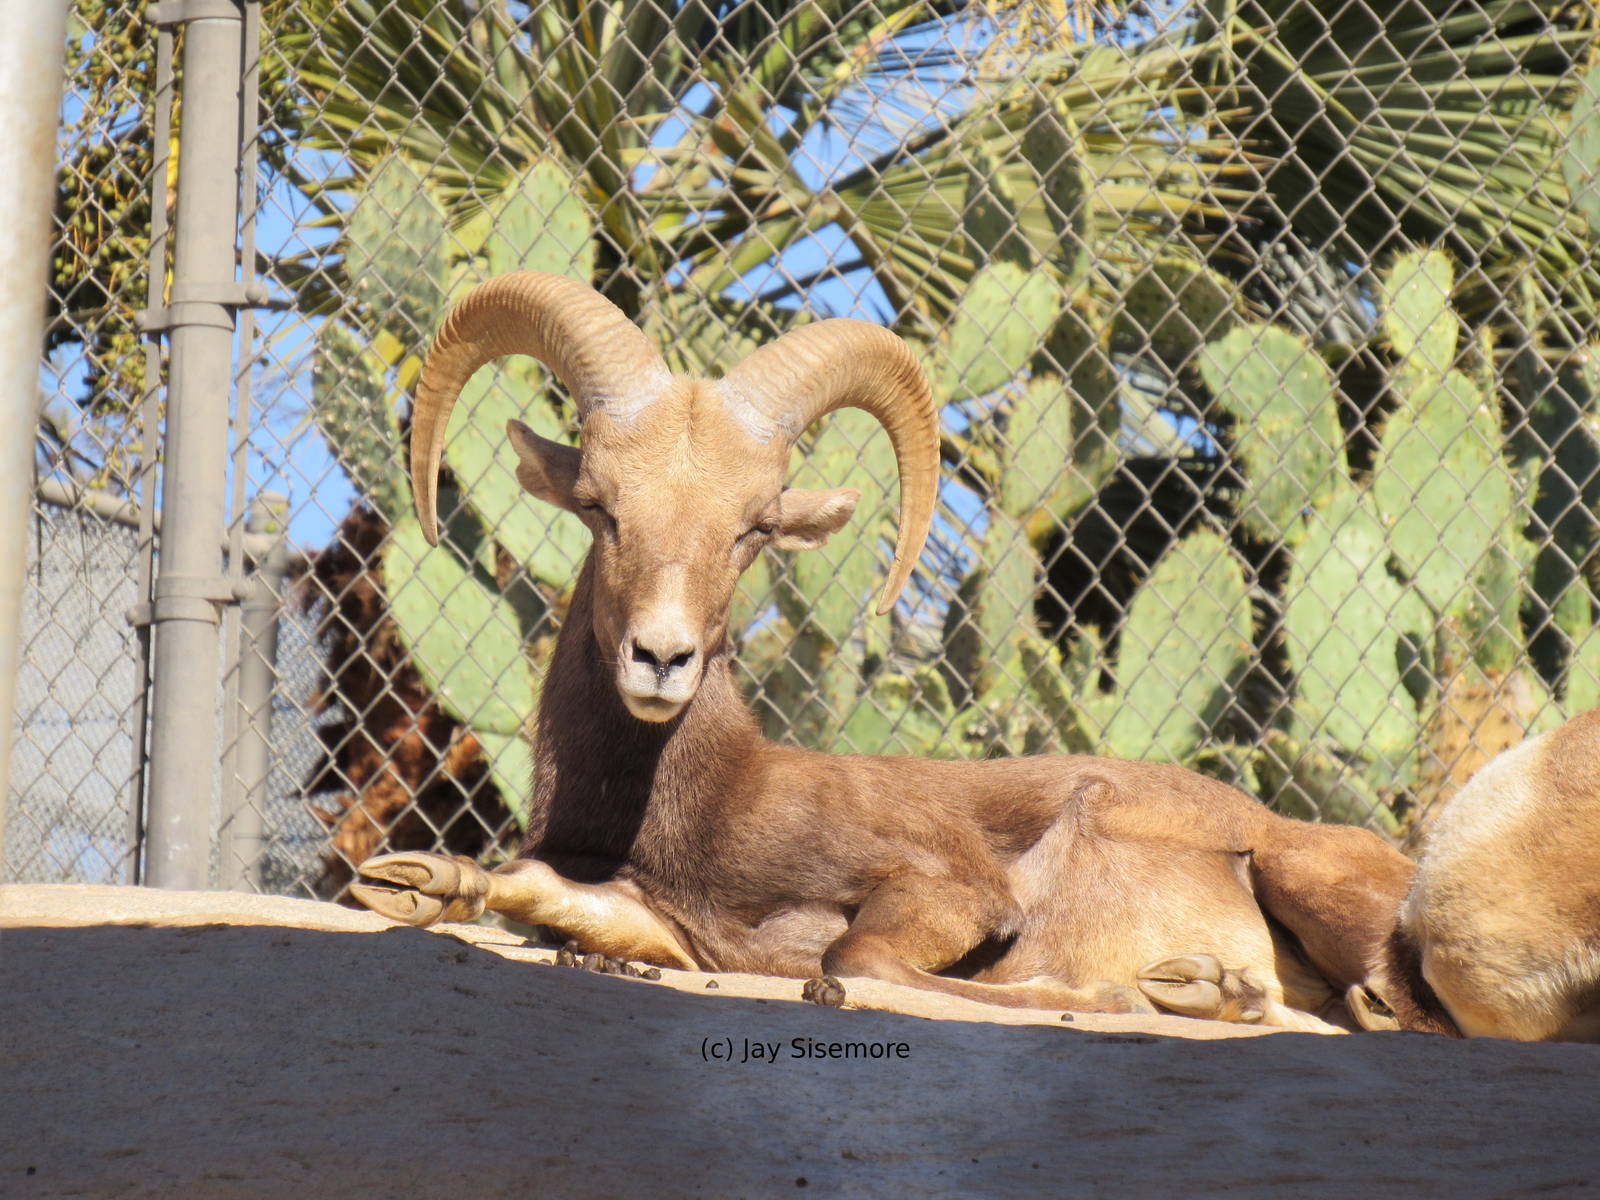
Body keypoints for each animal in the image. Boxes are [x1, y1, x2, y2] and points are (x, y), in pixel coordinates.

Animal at [350, 271, 1455, 1035]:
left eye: (753, 529)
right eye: (599, 507)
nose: (659, 659)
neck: (700, 805)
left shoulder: (949, 892)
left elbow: (855, 963)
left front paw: (1115, 994)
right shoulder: (659, 919)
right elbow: (531, 889)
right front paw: (425, 884)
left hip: (1307, 875)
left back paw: (1198, 992)